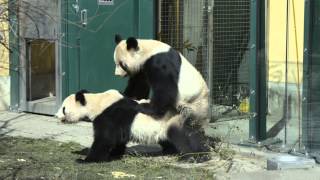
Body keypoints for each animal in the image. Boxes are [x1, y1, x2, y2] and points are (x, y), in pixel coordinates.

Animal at [55, 89, 211, 162]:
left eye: (63, 108)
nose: (57, 116)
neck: (97, 101)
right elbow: (118, 139)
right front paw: (115, 153)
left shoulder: (108, 115)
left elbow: (104, 139)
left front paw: (86, 159)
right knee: (190, 137)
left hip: (171, 121)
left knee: (181, 138)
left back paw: (190, 157)